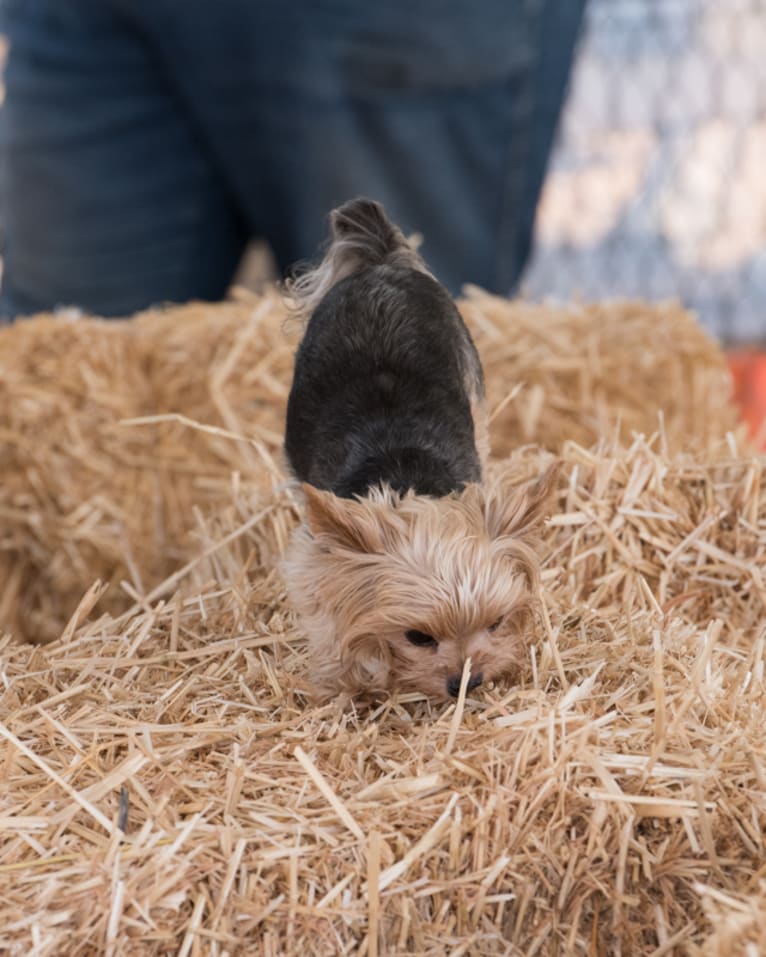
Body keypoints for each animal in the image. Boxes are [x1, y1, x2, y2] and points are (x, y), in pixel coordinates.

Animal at [282, 198, 560, 700]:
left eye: (497, 622)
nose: (467, 682)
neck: (409, 480)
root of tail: (380, 261)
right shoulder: (316, 560)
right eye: (417, 637)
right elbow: (333, 630)